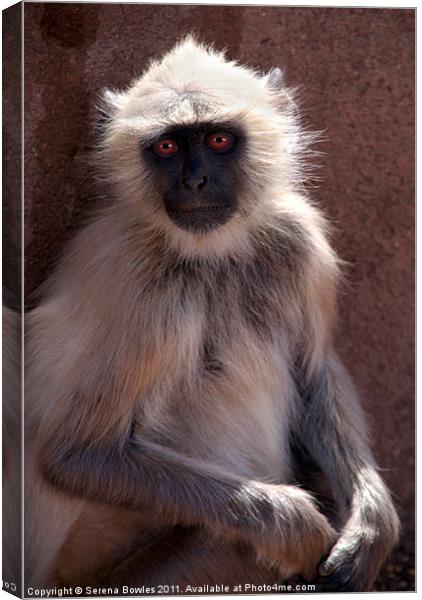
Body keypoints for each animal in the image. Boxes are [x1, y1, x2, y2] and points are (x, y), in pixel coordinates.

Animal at [26, 37, 398, 592]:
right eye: (167, 148)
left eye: (219, 140)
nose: (195, 181)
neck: (213, 256)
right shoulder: (140, 288)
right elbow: (77, 455)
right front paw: (296, 526)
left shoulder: (296, 236)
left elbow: (314, 371)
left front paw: (371, 528)